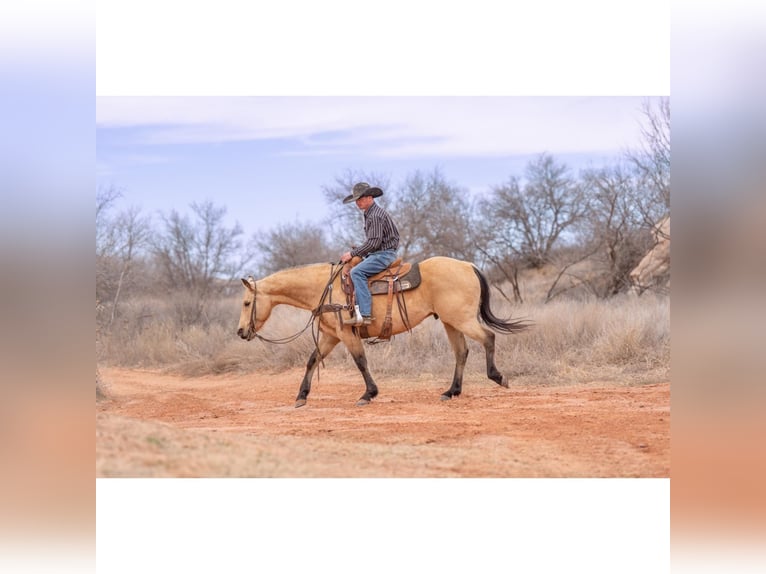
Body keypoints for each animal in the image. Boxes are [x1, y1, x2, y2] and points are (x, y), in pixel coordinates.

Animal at [237, 256, 532, 410]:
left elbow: (360, 362)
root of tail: (469, 265)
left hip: (462, 319)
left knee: (488, 338)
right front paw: (301, 397)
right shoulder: (330, 336)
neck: (323, 287)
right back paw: (451, 391)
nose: (240, 332)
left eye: (247, 303)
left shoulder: (347, 334)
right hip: (451, 322)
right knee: (462, 352)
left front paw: (369, 394)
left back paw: (498, 377)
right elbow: (312, 360)